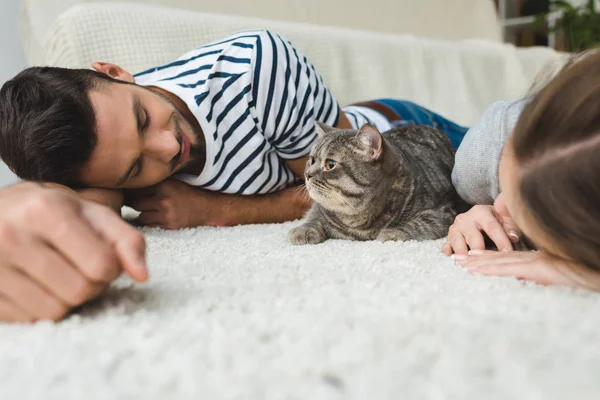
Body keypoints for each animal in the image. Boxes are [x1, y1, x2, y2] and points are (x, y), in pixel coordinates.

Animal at [288, 122, 466, 245]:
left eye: (330, 164)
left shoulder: (441, 212)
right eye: (311, 160)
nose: (307, 174)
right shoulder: (318, 207)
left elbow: (418, 224)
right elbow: (313, 215)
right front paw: (304, 229)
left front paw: (392, 233)